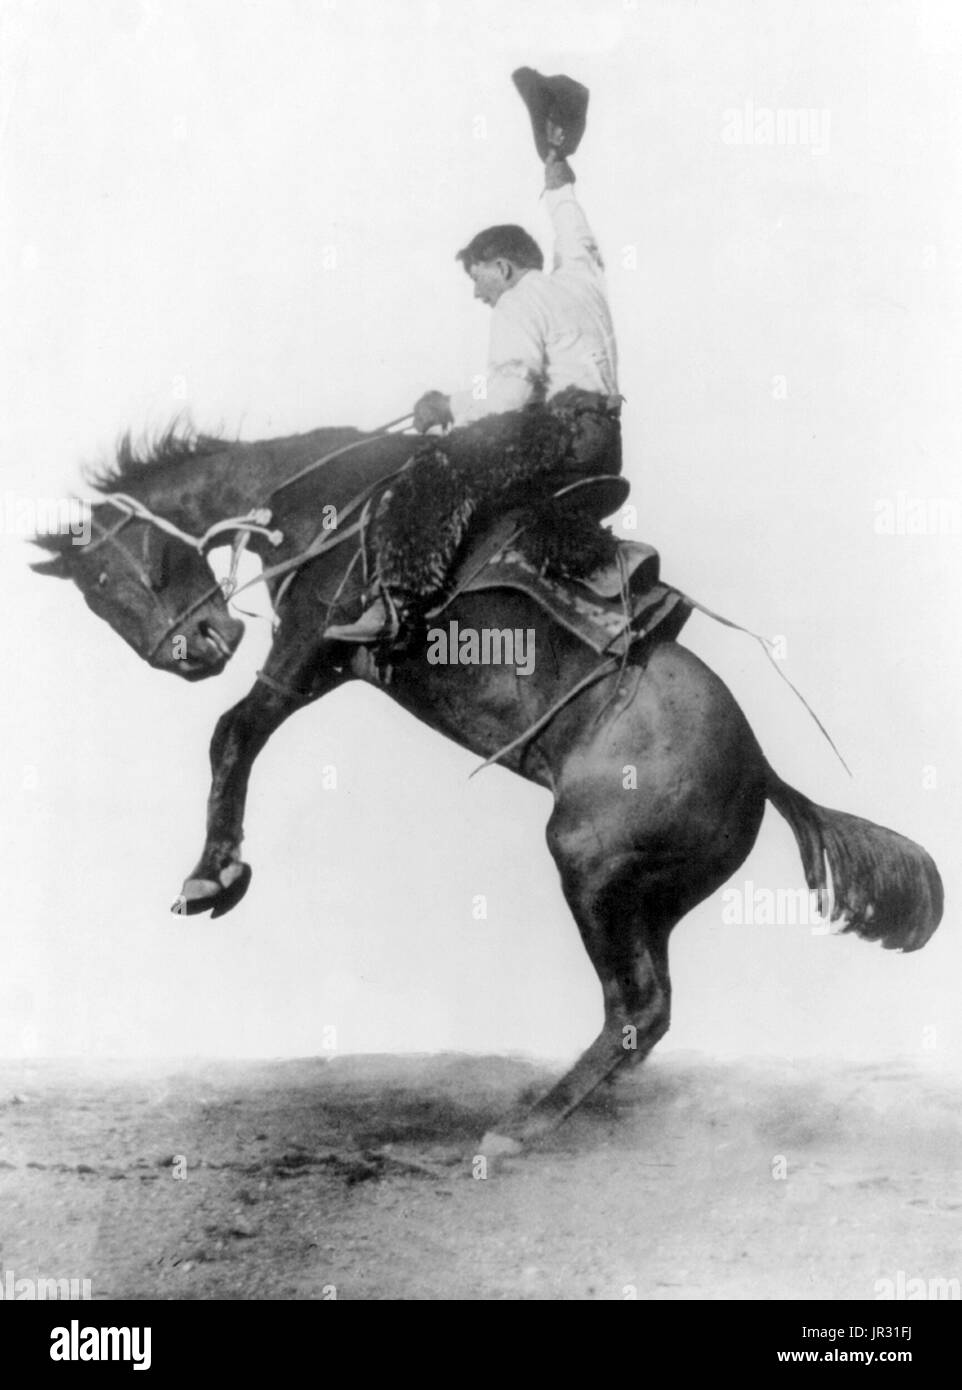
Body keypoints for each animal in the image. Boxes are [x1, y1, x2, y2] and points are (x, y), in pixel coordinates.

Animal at [33, 422, 945, 1150]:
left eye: (105, 582)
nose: (198, 650)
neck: (321, 498)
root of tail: (762, 773)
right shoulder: (330, 664)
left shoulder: (307, 643)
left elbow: (234, 732)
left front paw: (211, 877)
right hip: (650, 896)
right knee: (648, 1012)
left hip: (590, 866)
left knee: (634, 1008)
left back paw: (520, 1129)